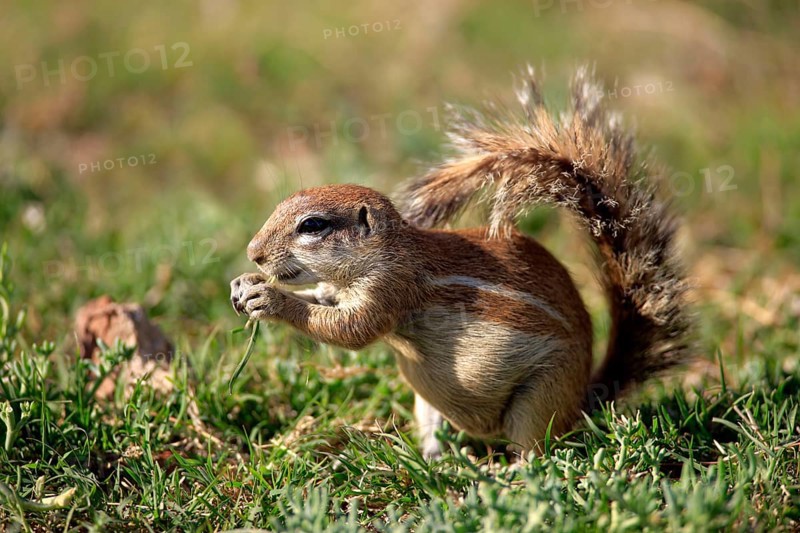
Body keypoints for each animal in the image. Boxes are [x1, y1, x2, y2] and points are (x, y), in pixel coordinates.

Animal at [230, 66, 692, 458]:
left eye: (312, 225)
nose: (254, 252)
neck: (388, 250)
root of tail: (584, 400)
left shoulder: (390, 286)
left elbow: (351, 329)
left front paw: (271, 300)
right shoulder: (347, 288)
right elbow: (325, 301)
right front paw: (244, 285)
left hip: (541, 395)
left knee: (534, 448)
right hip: (428, 403)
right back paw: (435, 460)